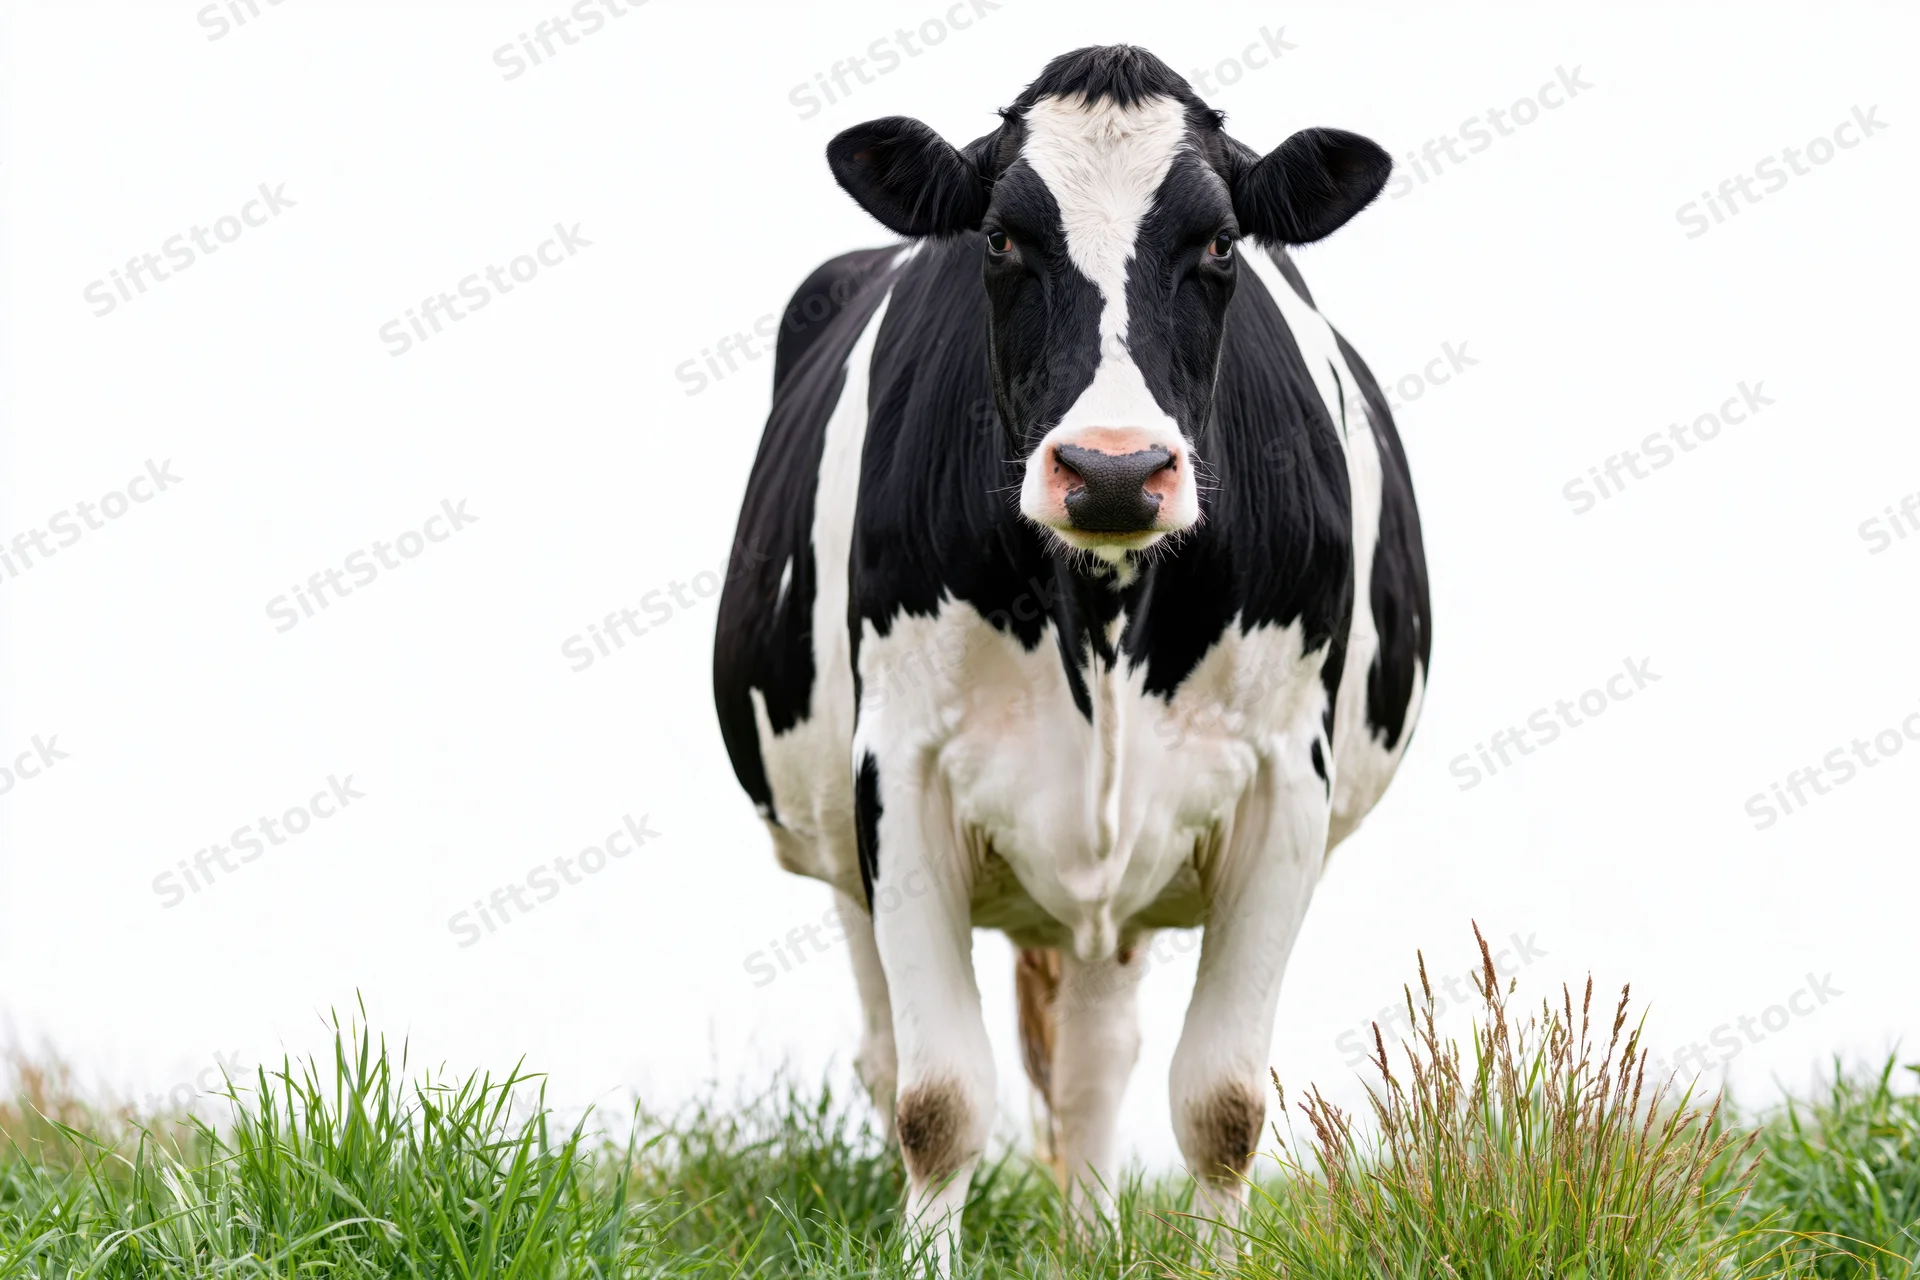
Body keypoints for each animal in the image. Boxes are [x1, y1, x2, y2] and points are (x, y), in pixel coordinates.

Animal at [713, 44, 1429, 1265]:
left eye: (1219, 244)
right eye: (1003, 239)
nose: (1111, 469)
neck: (1098, 612)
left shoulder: (1287, 776)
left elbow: (1223, 1105)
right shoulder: (897, 769)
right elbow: (938, 1100)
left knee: (1096, 1062)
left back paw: (1091, 1244)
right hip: (839, 834)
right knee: (895, 1056)